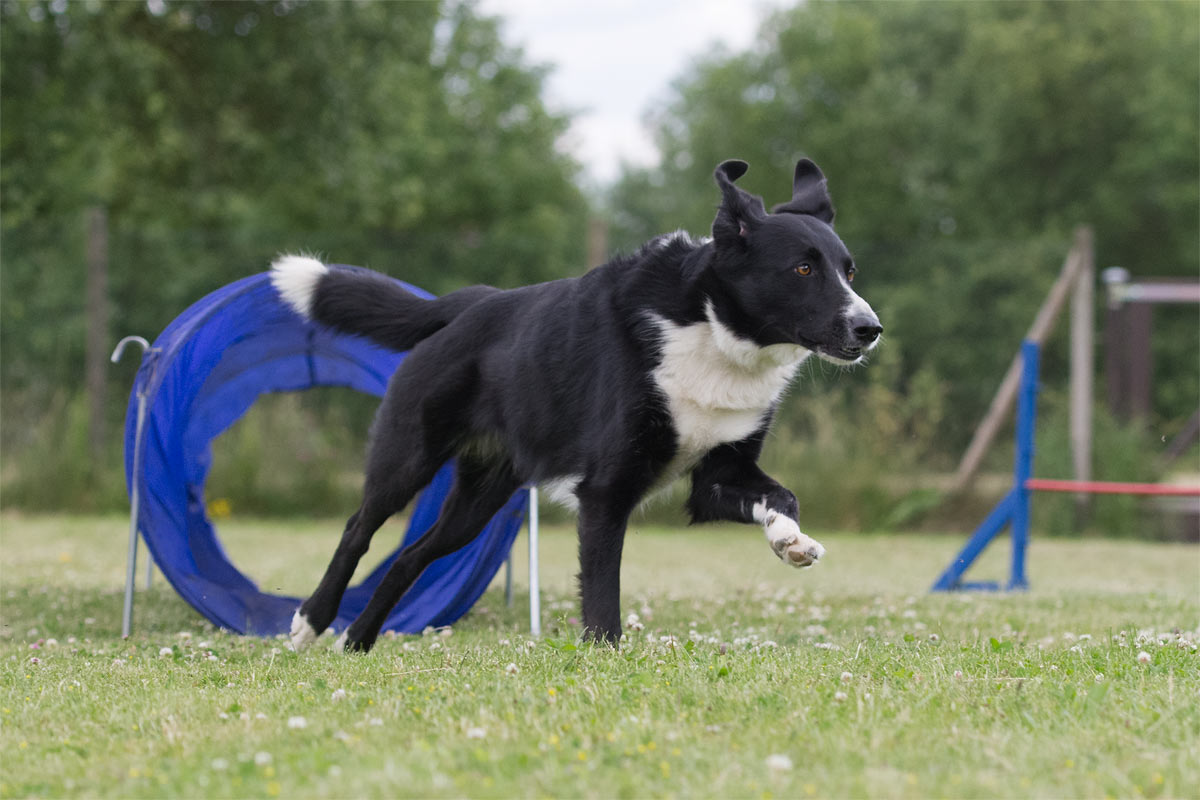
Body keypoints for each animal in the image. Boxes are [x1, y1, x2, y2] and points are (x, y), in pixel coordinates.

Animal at [272, 159, 878, 652]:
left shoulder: (718, 476)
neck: (711, 328)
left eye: (848, 271)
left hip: (480, 498)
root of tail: (468, 303)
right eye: (802, 269)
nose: (869, 329)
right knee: (359, 527)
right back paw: (311, 621)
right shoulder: (607, 490)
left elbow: (782, 495)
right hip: (409, 456)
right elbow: (603, 590)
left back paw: (357, 641)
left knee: (409, 557)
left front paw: (788, 539)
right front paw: (604, 656)